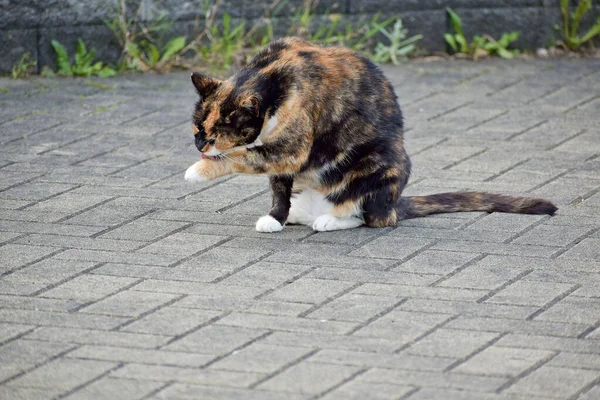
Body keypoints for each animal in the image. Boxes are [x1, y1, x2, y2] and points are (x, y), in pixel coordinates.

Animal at [184, 38, 556, 231]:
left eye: (215, 136)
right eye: (196, 129)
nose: (201, 144)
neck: (272, 76)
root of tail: (396, 202)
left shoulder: (292, 148)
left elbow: (243, 157)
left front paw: (199, 170)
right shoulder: (283, 162)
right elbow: (278, 189)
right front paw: (276, 218)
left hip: (378, 165)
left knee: (369, 217)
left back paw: (330, 221)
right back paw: (301, 216)